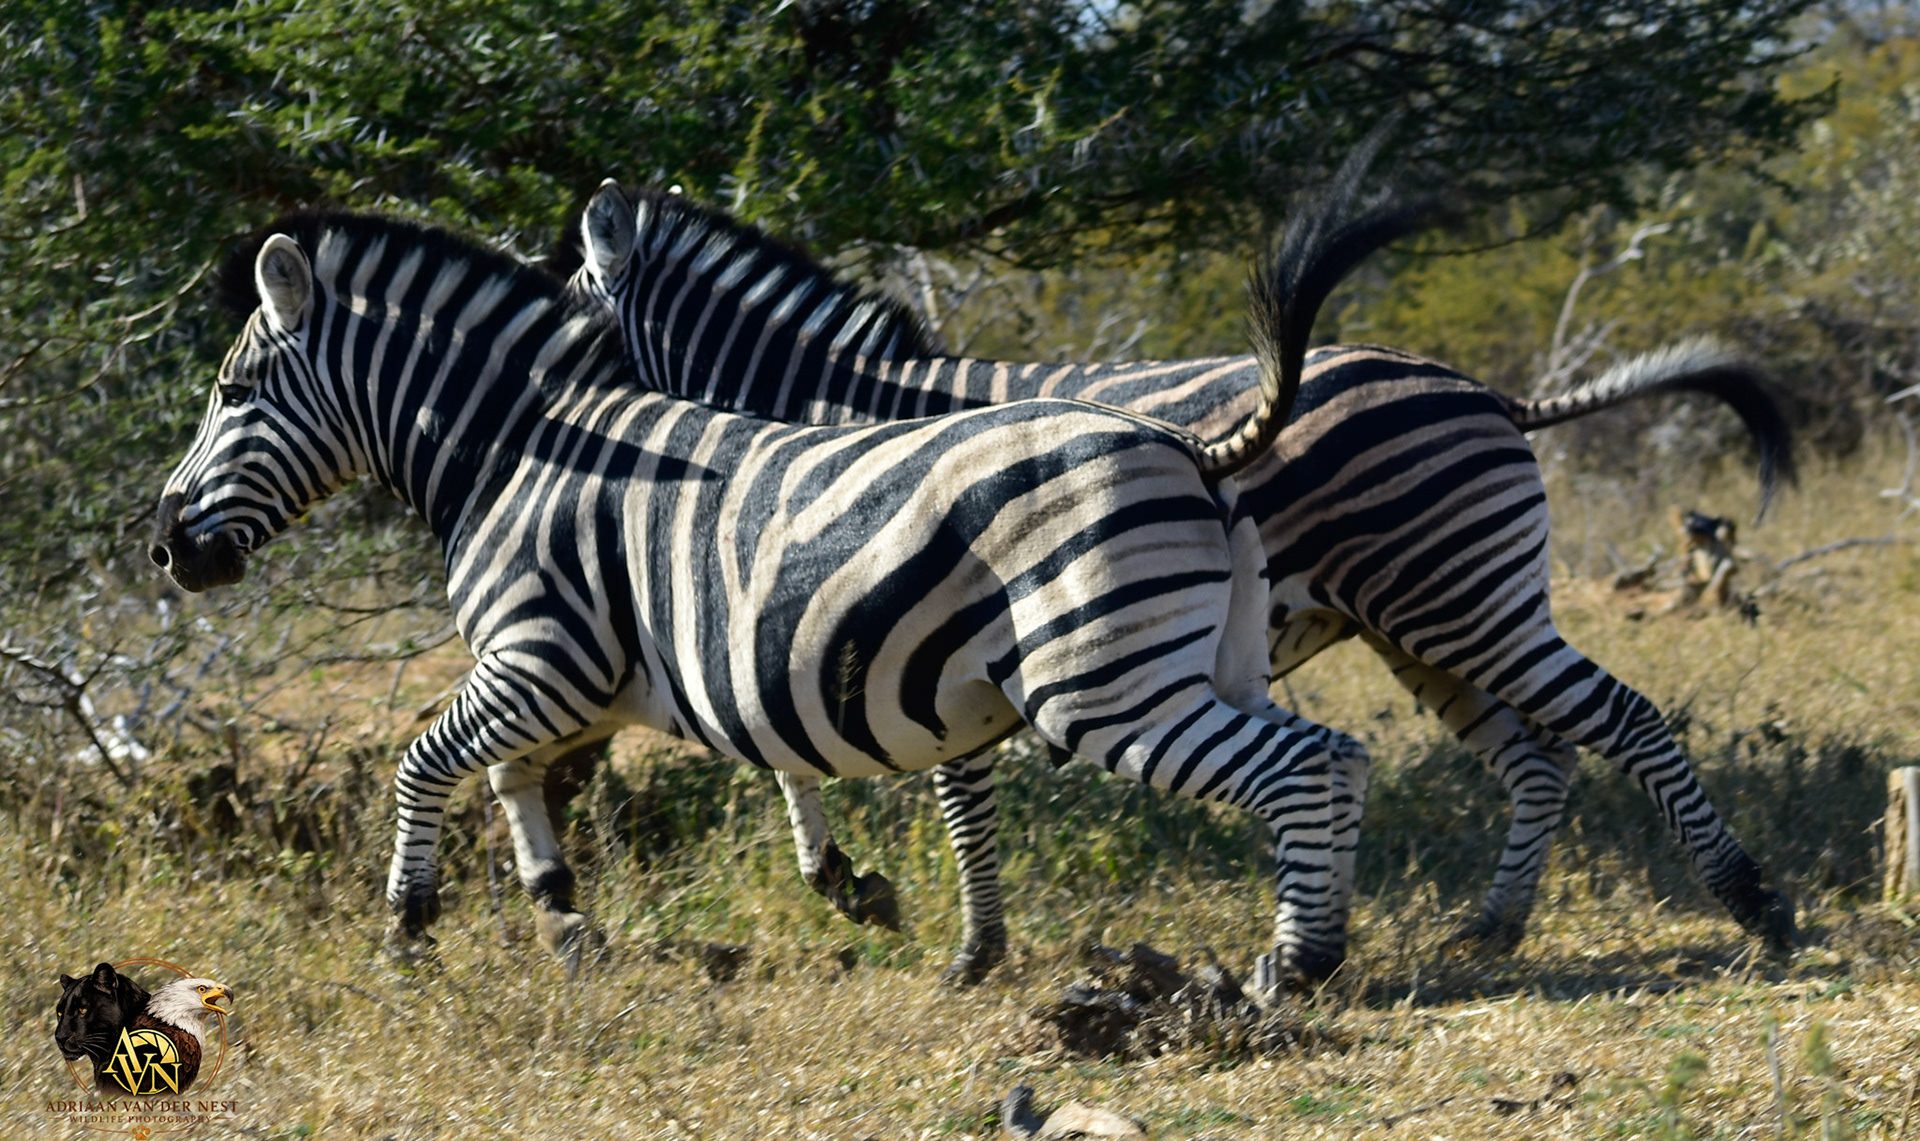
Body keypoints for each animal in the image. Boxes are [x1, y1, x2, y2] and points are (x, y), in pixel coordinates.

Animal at [147, 168, 1431, 985]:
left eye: (232, 392)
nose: (165, 548)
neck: (520, 448)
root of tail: (1192, 450)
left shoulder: (543, 655)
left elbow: (423, 763)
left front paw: (408, 932)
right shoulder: (581, 678)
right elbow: (521, 777)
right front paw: (565, 918)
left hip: (1104, 689)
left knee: (1302, 764)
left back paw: (1295, 964)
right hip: (1211, 661)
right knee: (1339, 754)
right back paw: (1321, 949)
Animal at [550, 181, 1799, 983]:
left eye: (569, 307)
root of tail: (1492, 390)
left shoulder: (911, 629)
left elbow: (931, 784)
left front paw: (963, 942)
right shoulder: (822, 615)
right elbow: (784, 744)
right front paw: (853, 881)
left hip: (1470, 602)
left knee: (1627, 720)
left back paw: (1756, 904)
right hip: (1423, 627)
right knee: (1539, 758)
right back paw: (1492, 927)